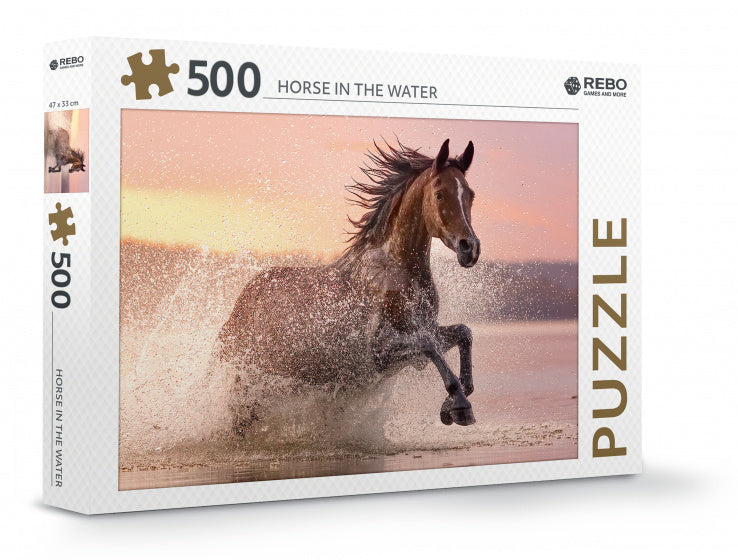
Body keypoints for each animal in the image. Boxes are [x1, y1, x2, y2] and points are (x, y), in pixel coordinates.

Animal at [218, 139, 481, 428]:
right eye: (439, 194)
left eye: (470, 194)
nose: (470, 248)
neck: (396, 276)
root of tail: (239, 307)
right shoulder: (378, 353)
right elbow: (429, 345)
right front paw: (459, 406)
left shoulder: (426, 332)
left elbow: (463, 334)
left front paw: (451, 404)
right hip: (248, 382)